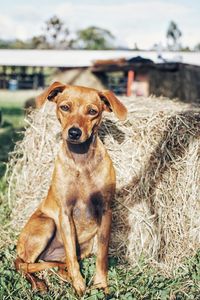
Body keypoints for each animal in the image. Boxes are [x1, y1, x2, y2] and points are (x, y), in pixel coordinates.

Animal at [15, 81, 126, 296]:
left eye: (92, 111)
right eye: (65, 107)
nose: (74, 132)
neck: (81, 161)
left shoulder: (106, 211)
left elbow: (101, 255)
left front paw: (101, 285)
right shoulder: (64, 213)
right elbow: (72, 258)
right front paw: (79, 285)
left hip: (84, 245)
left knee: (54, 263)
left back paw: (61, 275)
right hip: (47, 224)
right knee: (23, 263)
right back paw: (39, 283)